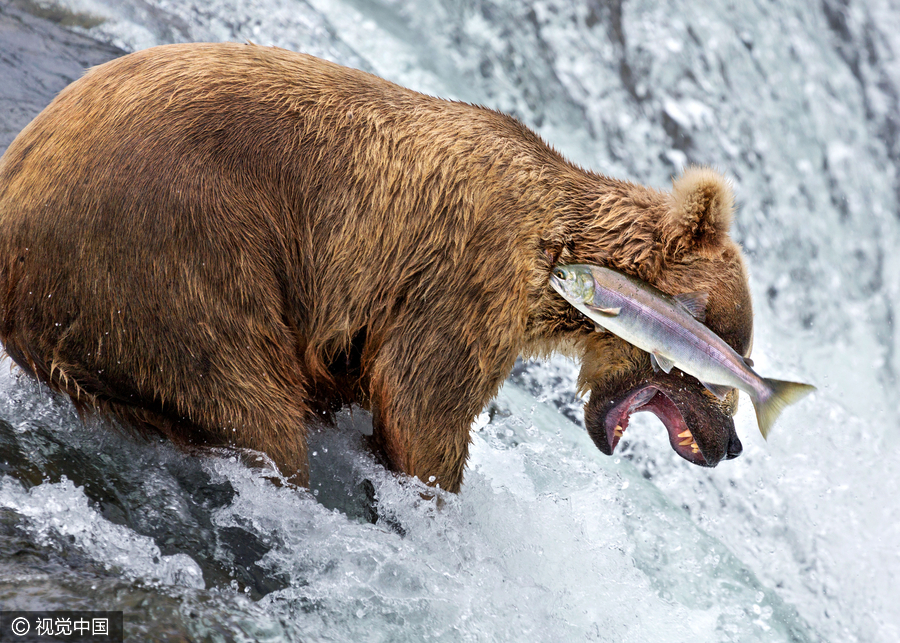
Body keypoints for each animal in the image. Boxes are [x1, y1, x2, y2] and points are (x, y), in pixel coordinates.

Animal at [0, 41, 748, 494]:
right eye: (726, 354)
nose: (731, 443)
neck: (559, 250)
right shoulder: (468, 270)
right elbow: (422, 400)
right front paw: (433, 497)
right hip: (177, 248)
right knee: (249, 399)